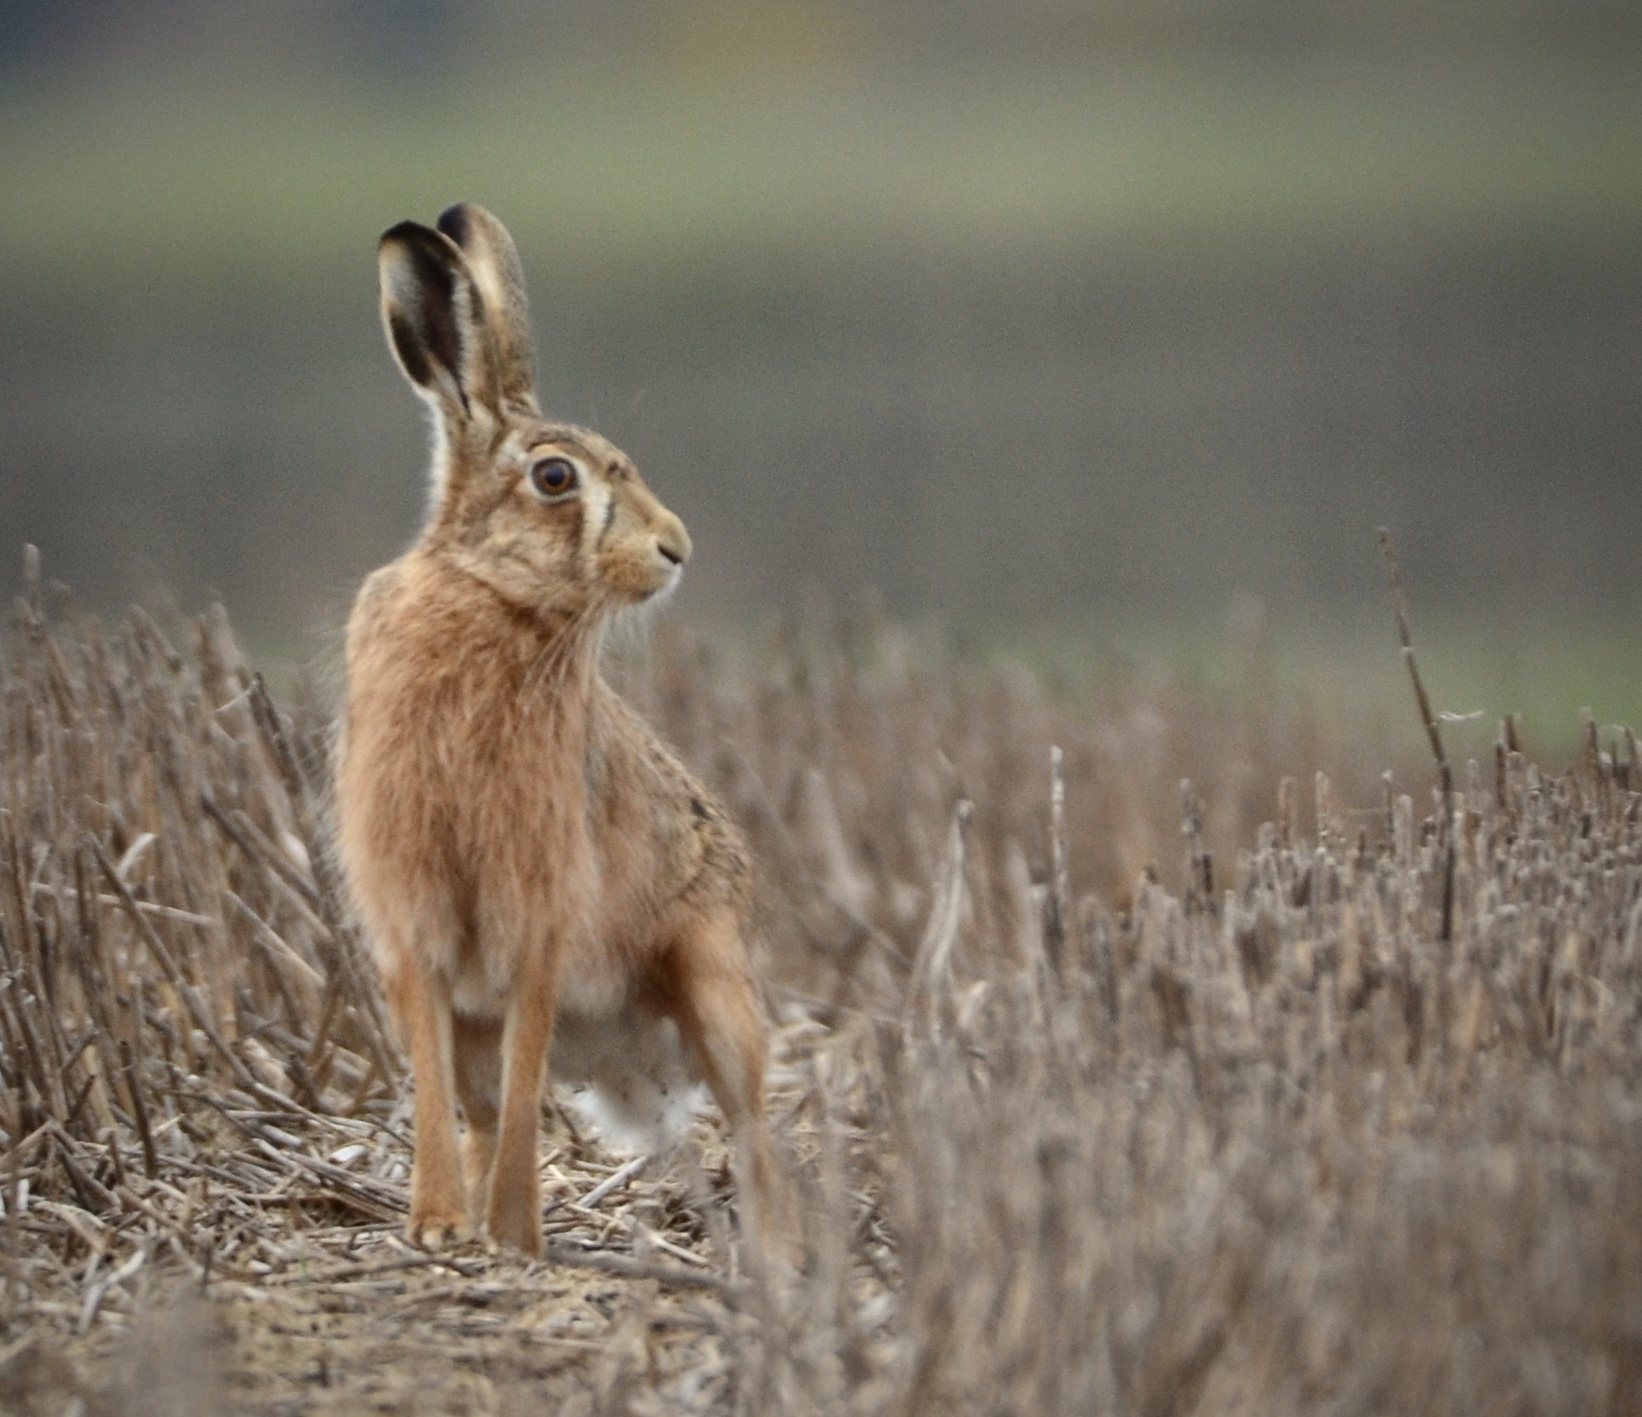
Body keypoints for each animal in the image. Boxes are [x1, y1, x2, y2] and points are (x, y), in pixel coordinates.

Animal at [335, 203, 791, 1261]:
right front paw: (437, 1227)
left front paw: (511, 1238)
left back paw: (780, 1254)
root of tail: (629, 1064)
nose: (676, 547)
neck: (490, 595)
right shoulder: (412, 917)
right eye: (555, 478)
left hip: (716, 981)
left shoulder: (538, 910)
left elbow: (525, 1071)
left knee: (753, 1123)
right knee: (486, 1105)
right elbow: (441, 1088)